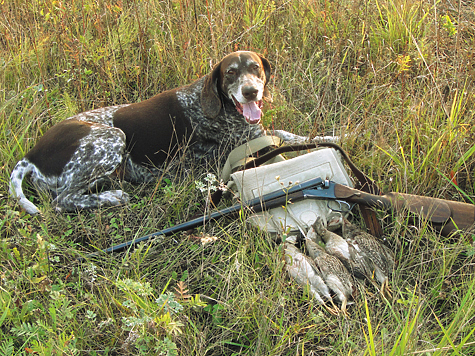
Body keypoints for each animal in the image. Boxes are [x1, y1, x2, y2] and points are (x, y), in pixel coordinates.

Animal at [10, 51, 338, 214]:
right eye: (230, 72)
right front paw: (331, 139)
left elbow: (291, 134)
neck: (219, 108)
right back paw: (113, 197)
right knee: (62, 201)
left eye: (255, 68)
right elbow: (290, 136)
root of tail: (30, 156)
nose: (250, 91)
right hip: (111, 138)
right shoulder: (248, 142)